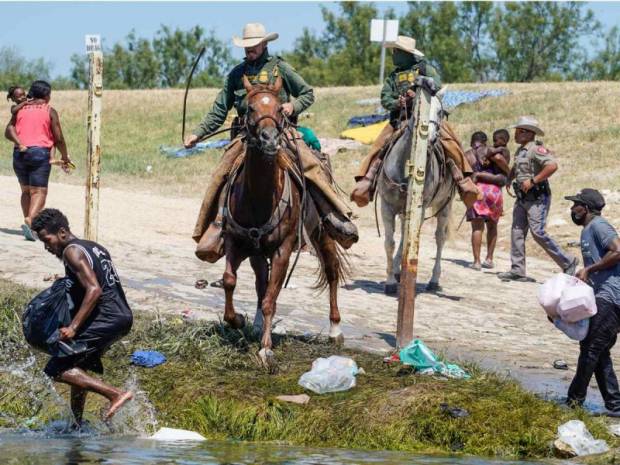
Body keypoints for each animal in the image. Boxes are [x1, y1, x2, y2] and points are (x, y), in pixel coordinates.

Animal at [220, 74, 346, 368]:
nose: (269, 139)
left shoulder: (283, 250)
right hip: (257, 253)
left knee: (332, 271)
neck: (259, 198)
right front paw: (237, 320)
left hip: (322, 233)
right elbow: (230, 281)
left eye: (279, 108)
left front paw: (266, 350)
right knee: (260, 282)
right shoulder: (235, 241)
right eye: (250, 107)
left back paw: (335, 329)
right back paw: (255, 323)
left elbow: (271, 299)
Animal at [378, 90, 456, 294]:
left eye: (440, 112)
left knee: (439, 238)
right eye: (416, 109)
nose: (430, 138)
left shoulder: (419, 209)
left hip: (445, 206)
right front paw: (390, 281)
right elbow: (390, 243)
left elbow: (408, 240)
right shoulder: (387, 206)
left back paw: (433, 280)